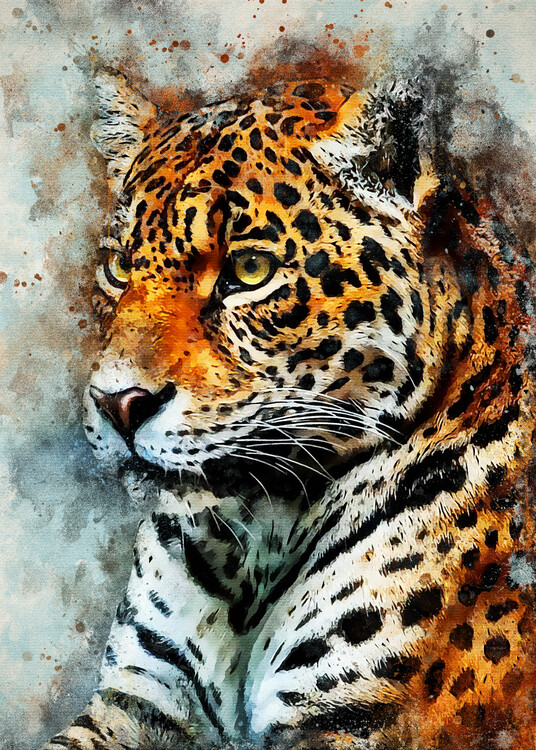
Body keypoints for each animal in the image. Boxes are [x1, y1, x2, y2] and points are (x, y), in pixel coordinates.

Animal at [39, 65, 536, 750]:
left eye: (249, 270)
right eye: (118, 266)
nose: (118, 403)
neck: (254, 535)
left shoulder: (354, 719)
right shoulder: (139, 698)